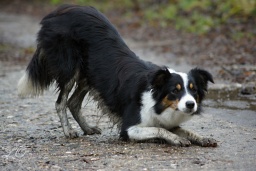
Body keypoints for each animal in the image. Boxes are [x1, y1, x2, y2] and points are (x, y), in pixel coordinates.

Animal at [18, 5, 217, 147]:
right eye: (175, 91)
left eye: (193, 91)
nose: (191, 105)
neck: (158, 102)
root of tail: (56, 12)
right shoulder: (129, 128)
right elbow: (159, 130)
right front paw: (175, 139)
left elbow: (182, 130)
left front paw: (202, 137)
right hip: (70, 68)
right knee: (60, 102)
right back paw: (69, 132)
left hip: (90, 74)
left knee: (73, 102)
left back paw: (87, 128)